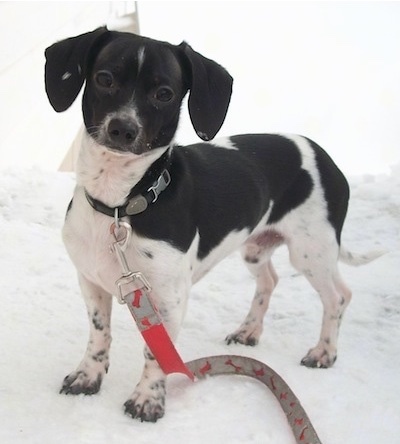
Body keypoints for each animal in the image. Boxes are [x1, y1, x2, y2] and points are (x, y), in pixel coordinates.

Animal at [44, 26, 382, 422]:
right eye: (104, 78)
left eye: (164, 93)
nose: (122, 129)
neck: (120, 205)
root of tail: (324, 156)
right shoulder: (92, 282)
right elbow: (99, 334)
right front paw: (88, 375)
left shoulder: (168, 299)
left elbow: (157, 353)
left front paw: (147, 400)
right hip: (257, 249)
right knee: (270, 280)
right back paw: (248, 331)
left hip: (312, 252)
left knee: (338, 296)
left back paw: (324, 352)